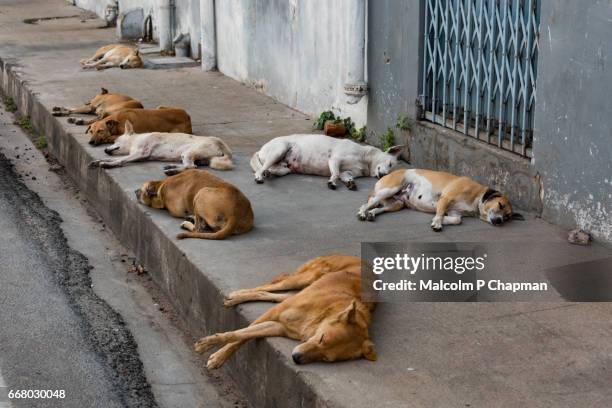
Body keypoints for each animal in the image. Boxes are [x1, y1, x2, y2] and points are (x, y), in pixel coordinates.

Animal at [88, 119, 234, 174]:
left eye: (115, 141)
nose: (105, 149)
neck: (136, 140)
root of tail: (222, 145)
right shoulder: (138, 155)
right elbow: (113, 158)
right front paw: (99, 160)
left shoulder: (141, 153)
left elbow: (119, 160)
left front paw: (108, 164)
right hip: (194, 156)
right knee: (192, 165)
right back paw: (172, 167)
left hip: (187, 152)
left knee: (191, 167)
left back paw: (172, 171)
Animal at [196, 253, 378, 368]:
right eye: (322, 339)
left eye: (326, 358)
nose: (296, 359)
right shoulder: (273, 314)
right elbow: (236, 336)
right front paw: (213, 352)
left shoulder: (278, 327)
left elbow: (244, 335)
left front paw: (217, 354)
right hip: (303, 279)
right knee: (270, 285)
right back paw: (236, 295)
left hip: (299, 289)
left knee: (271, 294)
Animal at [249, 135, 402, 190]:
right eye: (389, 164)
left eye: (391, 171)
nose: (384, 175)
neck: (365, 159)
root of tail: (260, 150)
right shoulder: (335, 159)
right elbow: (335, 174)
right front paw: (332, 182)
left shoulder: (347, 172)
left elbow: (345, 176)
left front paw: (350, 183)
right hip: (279, 150)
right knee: (260, 169)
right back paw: (260, 176)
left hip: (284, 168)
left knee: (271, 169)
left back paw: (267, 174)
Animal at [356, 168, 524, 231]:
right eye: (500, 205)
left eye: (507, 217)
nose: (499, 221)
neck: (476, 198)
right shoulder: (446, 198)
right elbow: (440, 212)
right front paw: (437, 222)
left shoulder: (455, 213)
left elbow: (456, 220)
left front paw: (441, 220)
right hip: (389, 189)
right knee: (365, 204)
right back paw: (363, 213)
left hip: (397, 204)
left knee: (378, 208)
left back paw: (371, 214)